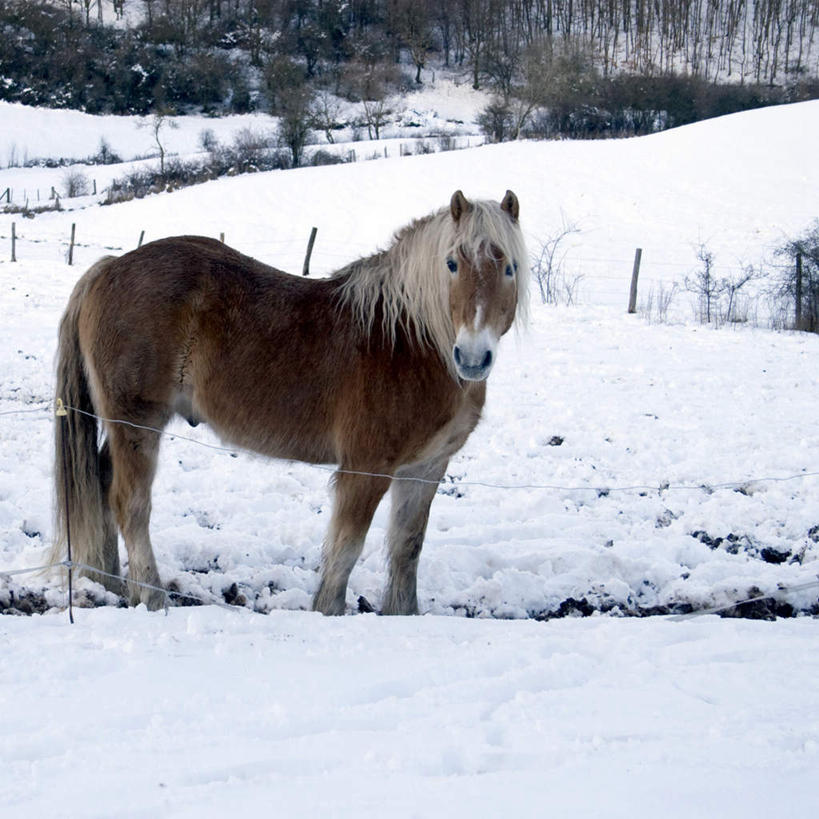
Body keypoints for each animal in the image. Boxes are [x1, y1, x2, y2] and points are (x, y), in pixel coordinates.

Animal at [51, 191, 528, 616]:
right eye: (452, 263)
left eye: (510, 267)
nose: (472, 357)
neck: (407, 339)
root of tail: (109, 269)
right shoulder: (366, 468)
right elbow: (345, 549)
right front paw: (327, 613)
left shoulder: (425, 468)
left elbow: (407, 547)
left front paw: (402, 615)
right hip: (138, 424)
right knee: (130, 504)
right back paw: (150, 596)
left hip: (124, 429)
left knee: (101, 483)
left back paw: (110, 583)